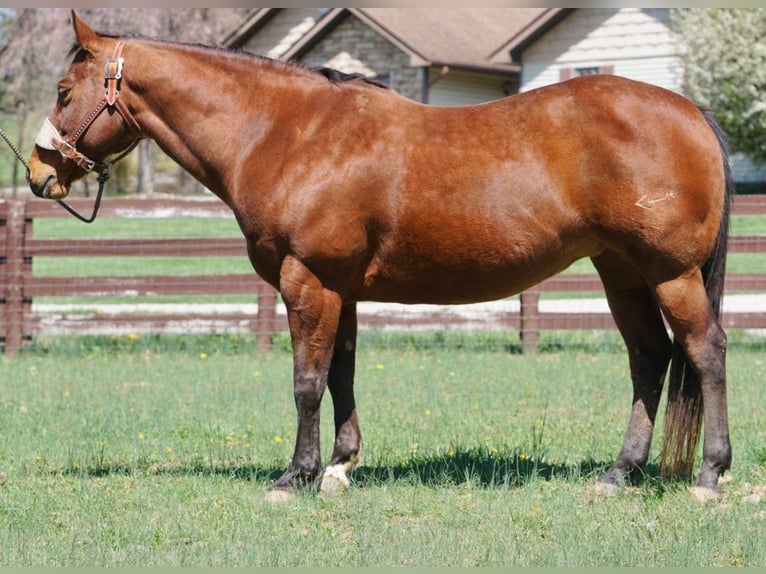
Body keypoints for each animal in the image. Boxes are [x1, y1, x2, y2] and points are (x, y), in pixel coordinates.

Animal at [26, 12, 733, 502]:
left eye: (63, 89)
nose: (37, 172)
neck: (288, 134)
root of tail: (689, 110)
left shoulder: (308, 281)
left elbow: (307, 381)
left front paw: (295, 477)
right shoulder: (340, 289)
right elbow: (341, 371)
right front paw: (339, 467)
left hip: (670, 273)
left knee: (703, 352)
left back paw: (709, 475)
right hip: (621, 271)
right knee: (649, 357)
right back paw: (619, 473)